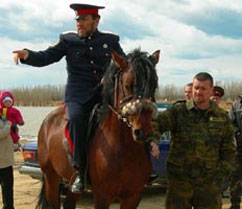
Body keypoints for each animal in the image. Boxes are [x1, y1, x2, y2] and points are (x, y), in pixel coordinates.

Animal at [36, 48, 160, 208]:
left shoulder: (133, 196)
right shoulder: (102, 197)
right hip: (51, 177)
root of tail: (47, 120)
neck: (124, 147)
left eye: (153, 86)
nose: (143, 132)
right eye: (127, 85)